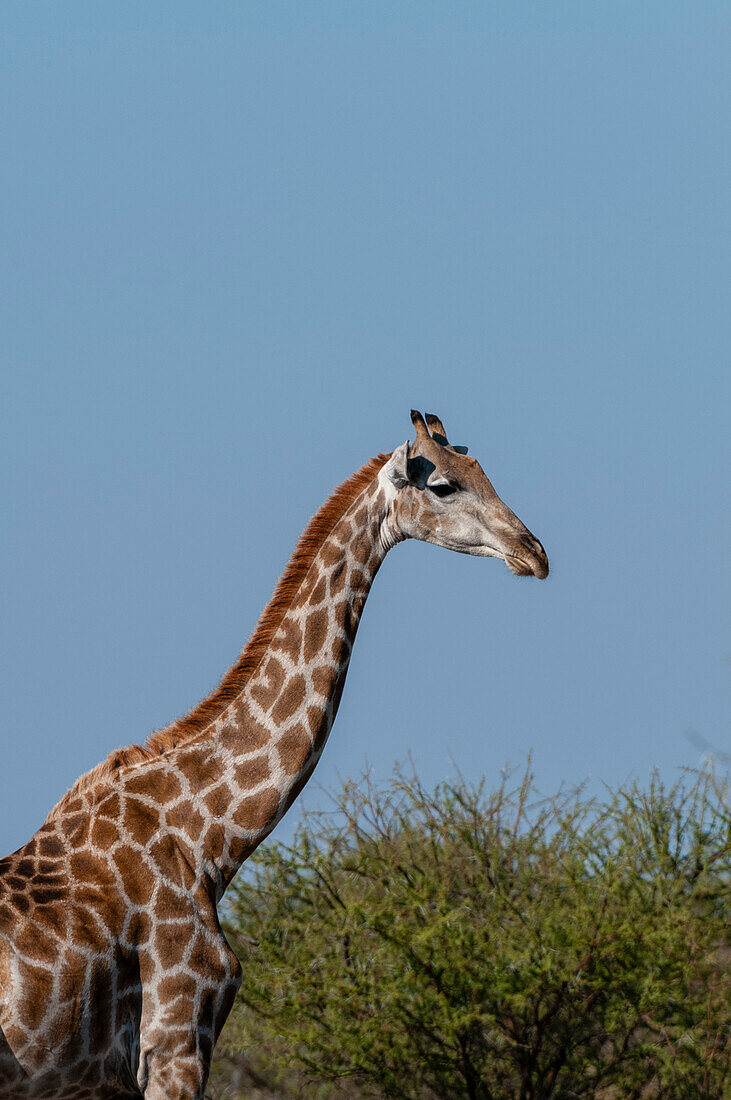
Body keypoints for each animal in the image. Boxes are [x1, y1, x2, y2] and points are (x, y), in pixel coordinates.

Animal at [0, 413, 547, 1100]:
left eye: (483, 470)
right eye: (445, 485)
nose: (535, 552)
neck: (206, 838)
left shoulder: (105, 1077)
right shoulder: (175, 1043)